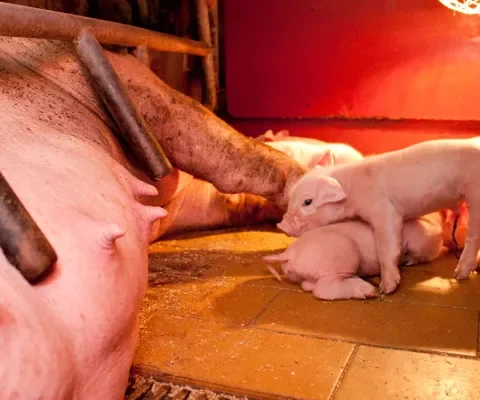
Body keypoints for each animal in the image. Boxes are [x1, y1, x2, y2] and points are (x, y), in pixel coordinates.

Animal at [278, 138, 480, 294]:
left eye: (307, 202)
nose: (281, 225)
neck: (352, 191)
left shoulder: (385, 211)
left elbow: (386, 247)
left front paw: (386, 289)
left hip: (475, 195)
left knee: (472, 237)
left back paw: (458, 274)